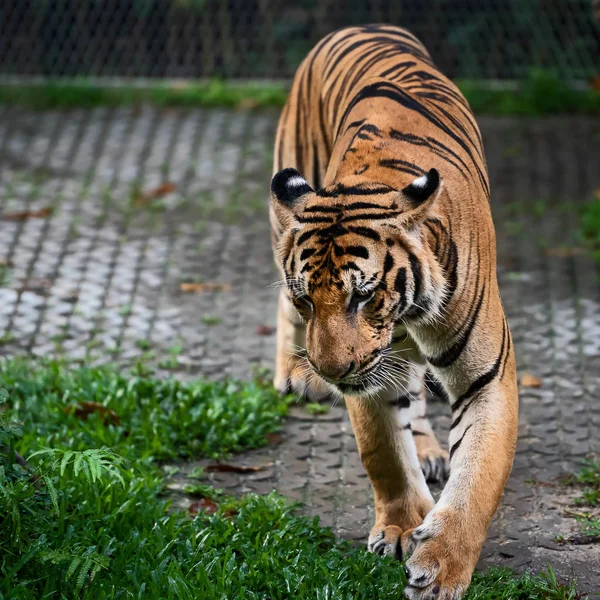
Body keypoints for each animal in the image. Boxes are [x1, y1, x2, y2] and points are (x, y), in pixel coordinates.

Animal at [270, 24, 516, 600]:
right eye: (308, 298)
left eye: (363, 295)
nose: (330, 371)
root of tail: (362, 26)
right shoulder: (368, 375)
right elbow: (382, 453)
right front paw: (404, 529)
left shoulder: (487, 377)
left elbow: (477, 478)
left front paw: (442, 569)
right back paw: (293, 373)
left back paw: (426, 448)